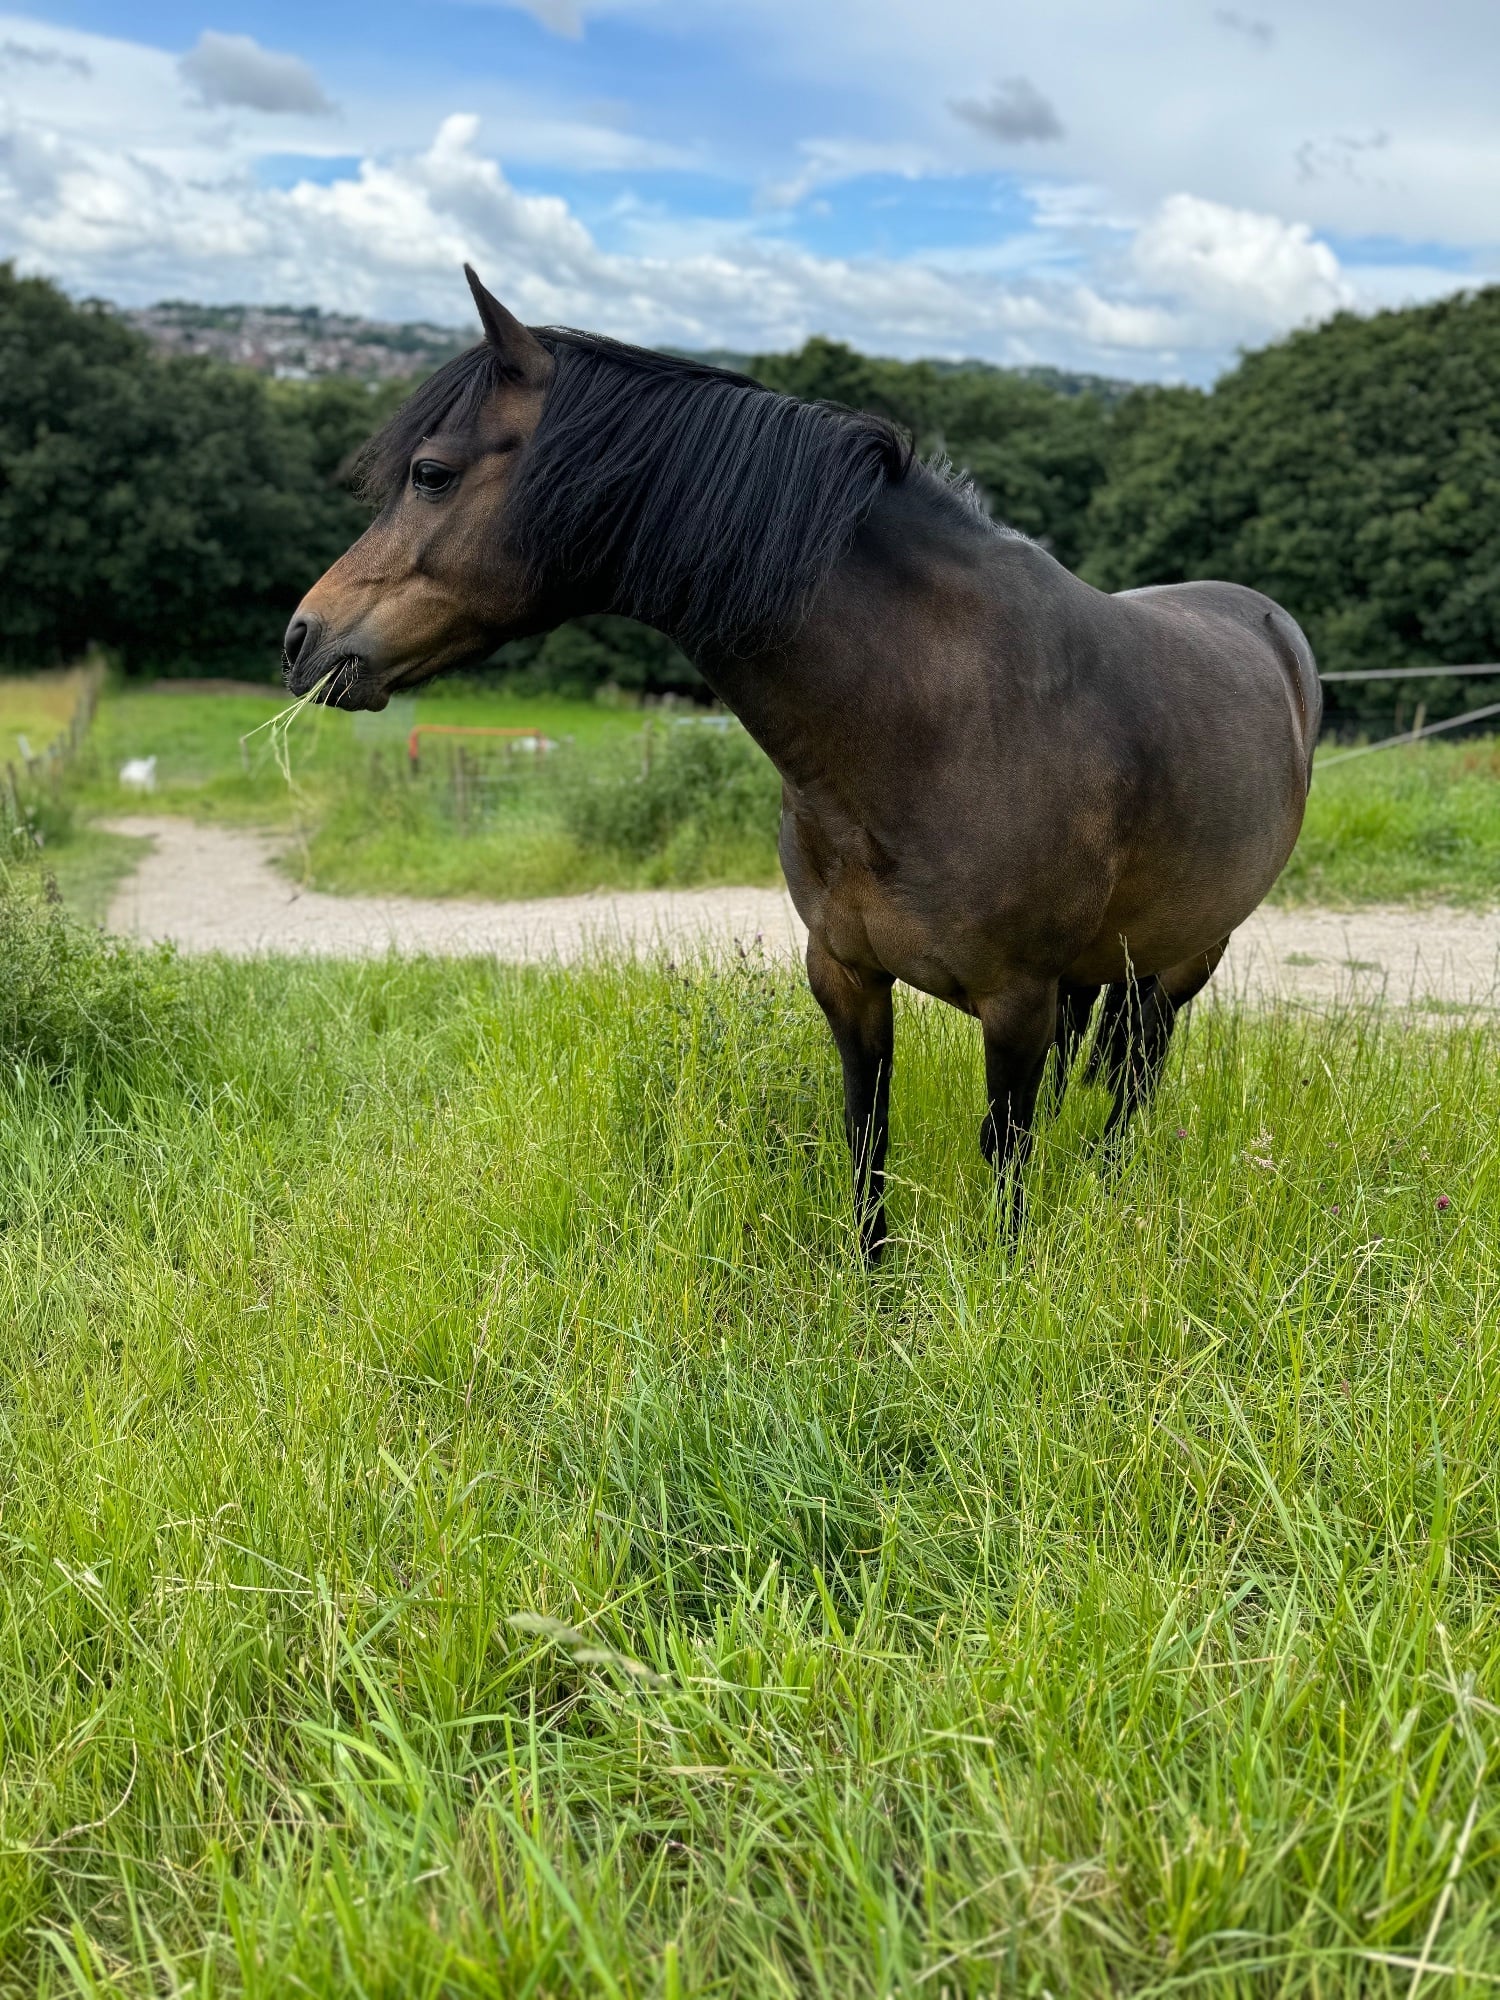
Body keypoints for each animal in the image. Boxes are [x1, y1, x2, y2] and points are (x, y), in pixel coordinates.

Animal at [284, 265, 1320, 1258]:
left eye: (431, 473)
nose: (303, 638)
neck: (934, 725)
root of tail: (1273, 627)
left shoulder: (1017, 999)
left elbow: (1006, 1159)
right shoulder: (846, 976)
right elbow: (868, 1138)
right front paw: (873, 1289)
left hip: (1183, 960)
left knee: (1133, 1089)